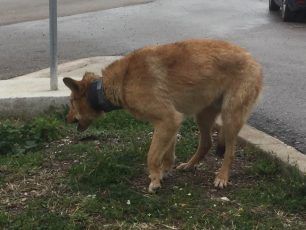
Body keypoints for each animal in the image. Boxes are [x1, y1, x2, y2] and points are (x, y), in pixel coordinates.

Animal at [63, 39, 262, 192]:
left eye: (71, 102)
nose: (66, 120)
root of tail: (253, 59)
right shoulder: (169, 124)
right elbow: (167, 155)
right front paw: (163, 172)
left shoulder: (168, 120)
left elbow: (152, 155)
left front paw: (155, 180)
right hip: (202, 116)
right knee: (206, 144)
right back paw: (189, 165)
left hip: (230, 118)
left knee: (230, 152)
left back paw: (222, 177)